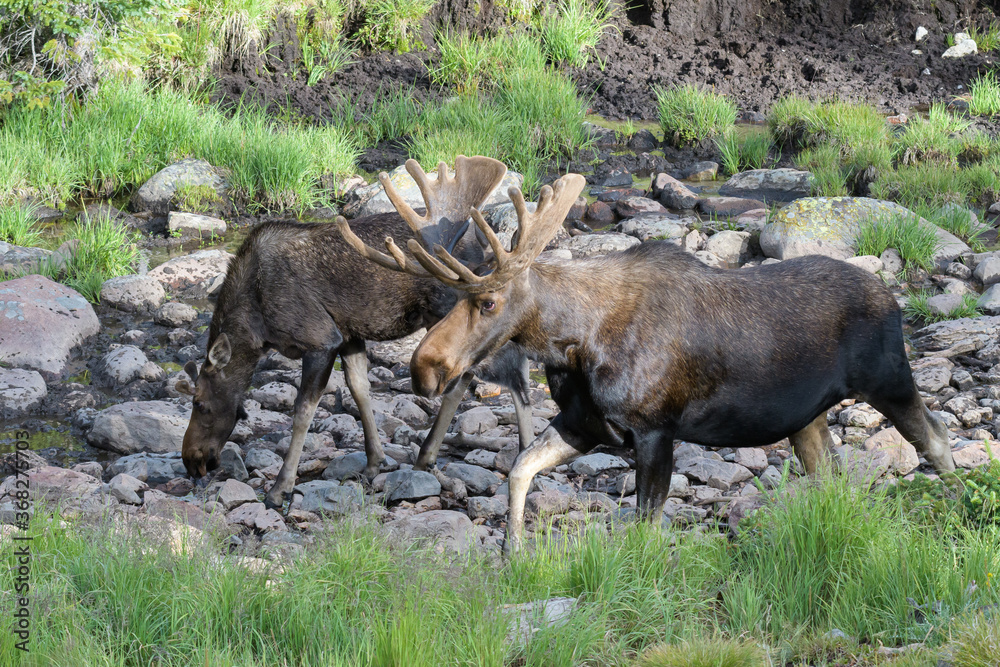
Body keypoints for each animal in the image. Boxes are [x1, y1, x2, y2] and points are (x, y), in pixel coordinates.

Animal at [175, 156, 536, 510]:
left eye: (200, 403)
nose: (191, 460)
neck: (256, 326)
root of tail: (485, 247)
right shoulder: (349, 335)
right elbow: (360, 390)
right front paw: (375, 460)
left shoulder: (320, 338)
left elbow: (302, 412)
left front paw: (281, 488)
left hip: (453, 312)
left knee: (489, 373)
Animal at [340, 168, 957, 551]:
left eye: (487, 301)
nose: (424, 369)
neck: (574, 344)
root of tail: (893, 299)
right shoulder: (586, 424)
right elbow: (519, 470)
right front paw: (513, 551)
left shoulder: (657, 429)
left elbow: (645, 526)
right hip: (806, 418)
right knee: (832, 473)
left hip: (889, 378)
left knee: (936, 438)